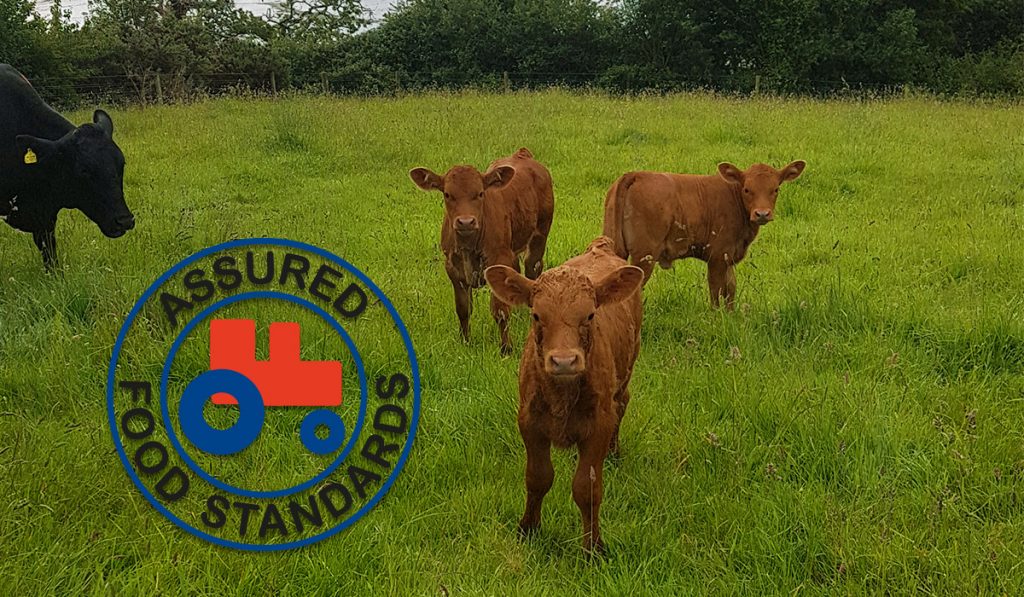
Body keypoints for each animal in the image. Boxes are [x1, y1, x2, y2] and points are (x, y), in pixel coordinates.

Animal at [409, 148, 554, 353]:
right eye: (447, 194)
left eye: (479, 194)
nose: (466, 222)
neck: (469, 246)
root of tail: (522, 154)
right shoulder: (453, 269)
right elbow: (463, 309)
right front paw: (465, 342)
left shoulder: (498, 260)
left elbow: (500, 311)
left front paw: (506, 348)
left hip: (539, 235)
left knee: (532, 269)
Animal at [484, 236, 644, 555]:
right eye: (536, 315)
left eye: (590, 315)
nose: (564, 361)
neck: (562, 397)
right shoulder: (529, 421)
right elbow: (537, 477)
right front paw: (528, 529)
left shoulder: (599, 424)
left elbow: (587, 488)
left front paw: (593, 548)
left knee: (622, 403)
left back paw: (614, 451)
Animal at [602, 161, 806, 309]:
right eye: (747, 189)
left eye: (776, 189)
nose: (762, 214)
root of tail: (636, 174)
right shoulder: (717, 256)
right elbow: (716, 290)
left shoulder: (728, 257)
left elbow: (730, 288)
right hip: (645, 255)